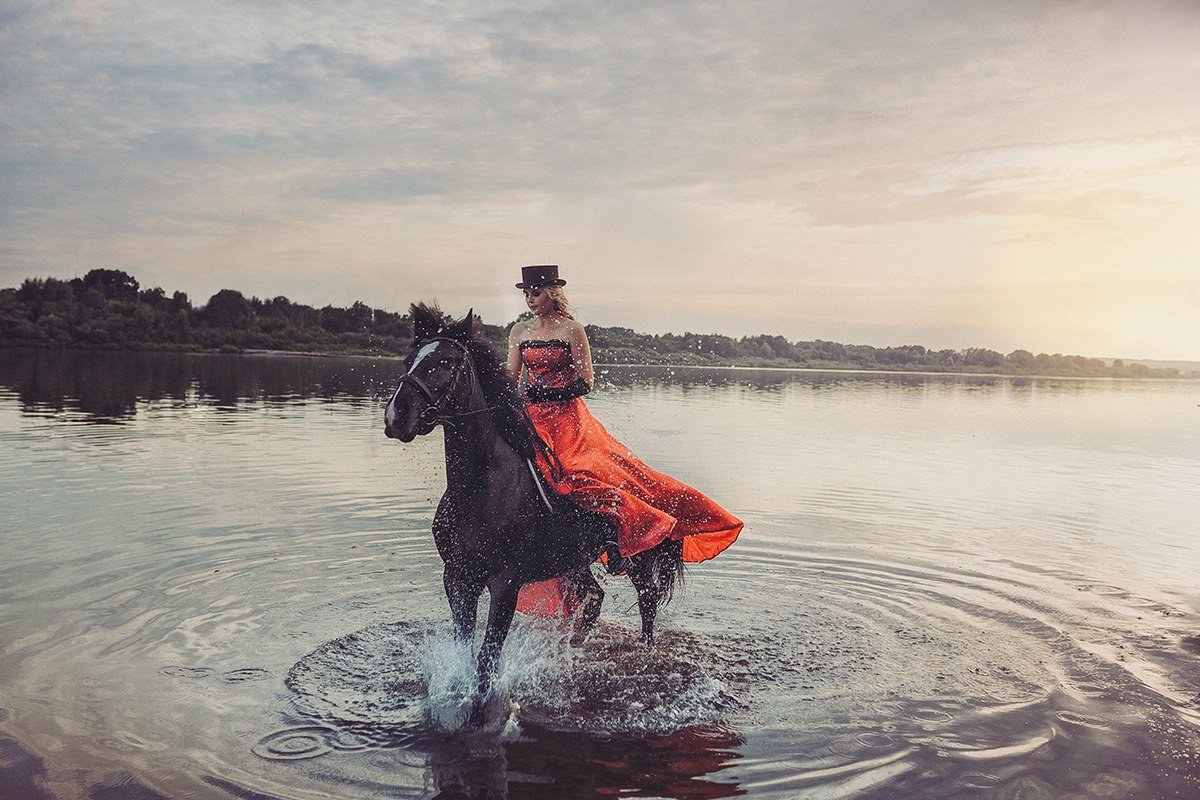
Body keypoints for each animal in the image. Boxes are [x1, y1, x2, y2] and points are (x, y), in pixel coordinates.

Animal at [384, 303, 686, 705]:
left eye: (446, 362)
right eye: (408, 360)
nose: (396, 416)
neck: (480, 490)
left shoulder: (505, 583)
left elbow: (486, 659)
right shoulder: (458, 577)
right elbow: (464, 649)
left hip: (635, 556)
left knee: (647, 601)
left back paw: (644, 650)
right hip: (573, 560)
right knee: (593, 597)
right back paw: (574, 646)